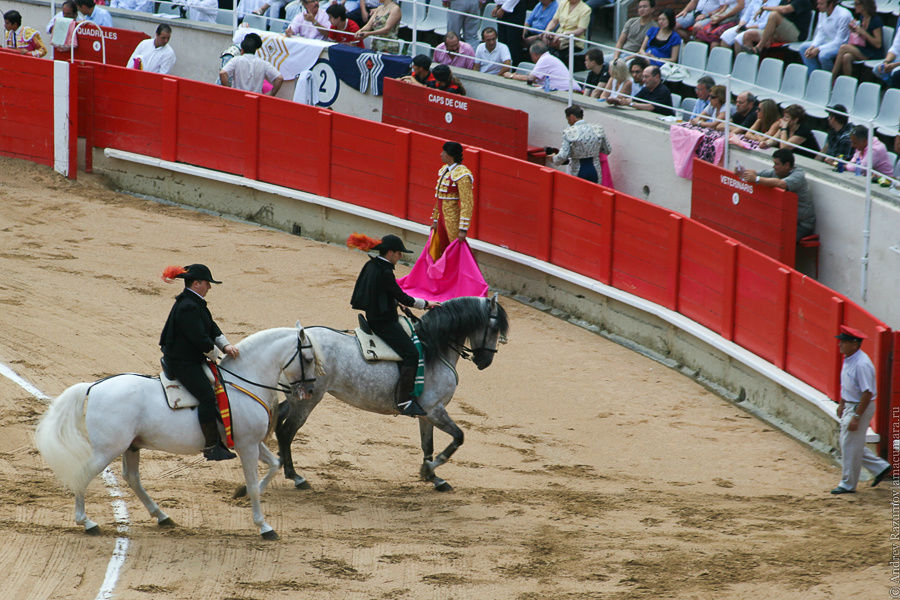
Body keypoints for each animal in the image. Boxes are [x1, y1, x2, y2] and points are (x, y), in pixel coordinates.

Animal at [35, 326, 316, 540]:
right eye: (309, 359)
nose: (311, 391)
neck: (243, 381)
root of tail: (93, 386)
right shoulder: (246, 445)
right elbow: (256, 483)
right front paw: (264, 526)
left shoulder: (253, 442)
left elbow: (275, 464)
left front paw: (242, 493)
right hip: (108, 450)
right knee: (84, 473)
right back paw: (87, 523)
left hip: (131, 446)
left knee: (132, 478)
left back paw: (162, 517)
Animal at [270, 292, 510, 494]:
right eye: (494, 328)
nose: (485, 361)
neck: (434, 348)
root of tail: (297, 340)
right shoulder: (435, 410)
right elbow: (458, 437)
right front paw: (429, 470)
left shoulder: (426, 414)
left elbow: (428, 445)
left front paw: (433, 477)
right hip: (307, 400)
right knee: (287, 431)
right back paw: (296, 477)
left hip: (296, 395)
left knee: (279, 420)